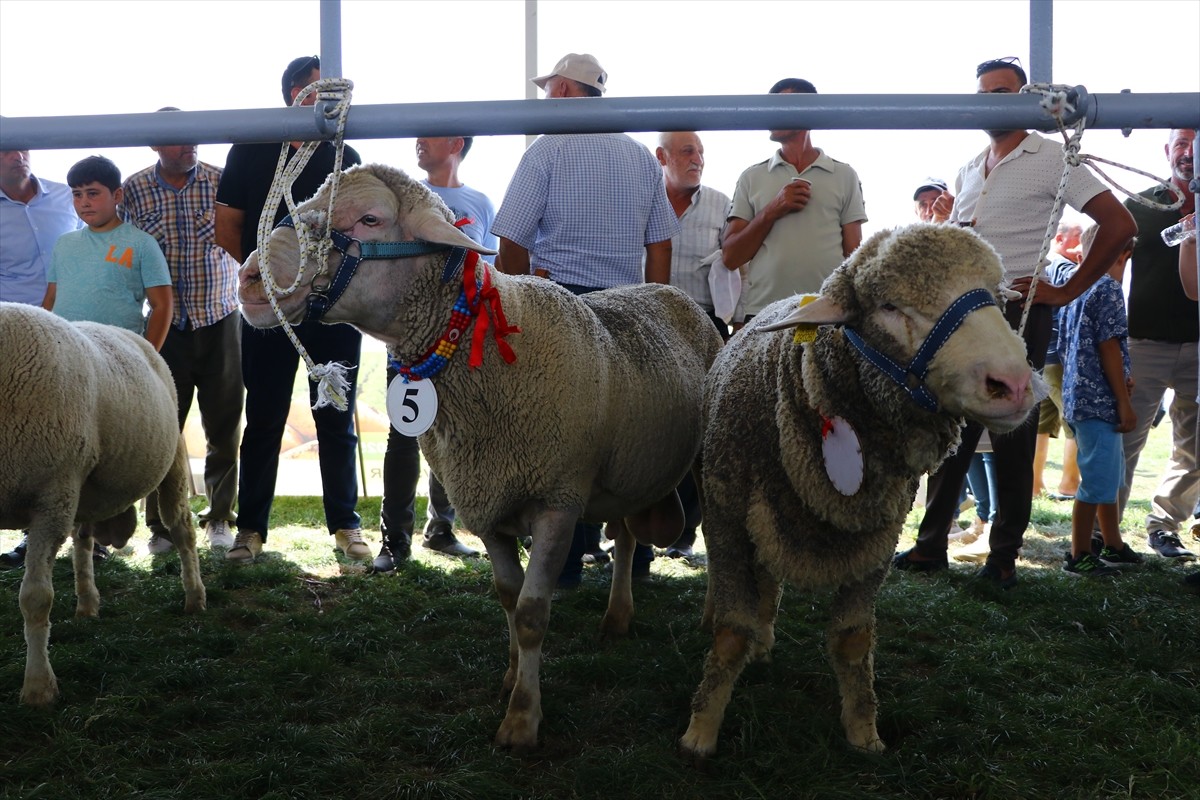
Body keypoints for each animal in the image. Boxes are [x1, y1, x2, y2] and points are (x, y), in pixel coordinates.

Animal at [0, 303, 204, 705]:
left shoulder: (51, 499)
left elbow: (36, 598)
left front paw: (38, 687)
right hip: (82, 488)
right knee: (82, 541)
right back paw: (87, 604)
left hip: (170, 458)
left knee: (182, 531)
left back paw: (195, 597)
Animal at [238, 163, 715, 753]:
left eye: (370, 218)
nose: (249, 280)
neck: (481, 344)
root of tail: (671, 290)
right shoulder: (484, 496)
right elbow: (508, 596)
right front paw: (512, 678)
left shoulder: (557, 501)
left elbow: (532, 612)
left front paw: (522, 721)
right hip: (625, 470)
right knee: (626, 538)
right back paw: (617, 618)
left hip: (702, 460)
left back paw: (711, 616)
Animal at [686, 226, 1041, 762]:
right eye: (889, 306)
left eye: (997, 299)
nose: (1015, 385)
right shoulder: (727, 518)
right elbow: (731, 632)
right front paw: (701, 731)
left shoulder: (879, 539)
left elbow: (853, 640)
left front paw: (863, 733)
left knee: (768, 582)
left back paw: (765, 640)